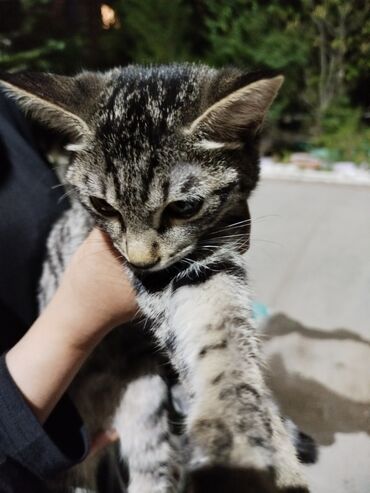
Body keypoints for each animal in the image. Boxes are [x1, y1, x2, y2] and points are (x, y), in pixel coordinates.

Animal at [0, 65, 310, 492]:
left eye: (184, 207)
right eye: (102, 207)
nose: (140, 259)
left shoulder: (210, 254)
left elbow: (223, 336)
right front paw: (240, 435)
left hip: (145, 403)